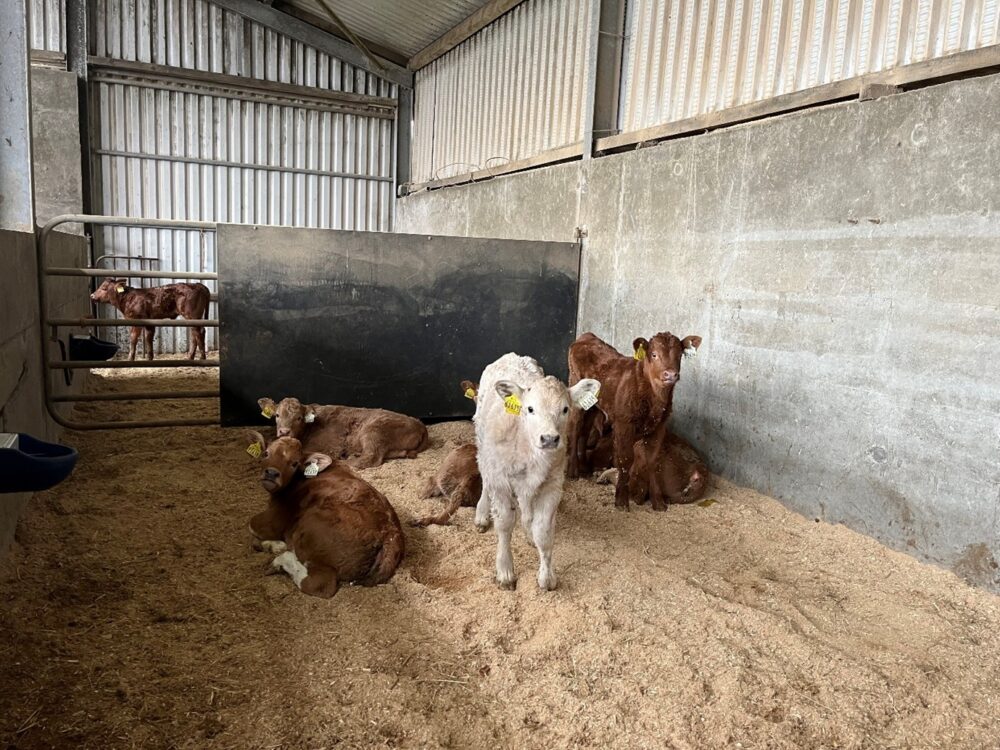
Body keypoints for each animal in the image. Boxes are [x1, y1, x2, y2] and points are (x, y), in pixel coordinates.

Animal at [246, 431, 404, 598]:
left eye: (294, 463)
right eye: (266, 453)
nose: (271, 473)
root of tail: (390, 533)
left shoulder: (275, 520)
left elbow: (252, 524)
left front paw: (273, 545)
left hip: (310, 530)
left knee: (319, 584)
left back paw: (281, 560)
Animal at [257, 396, 429, 469]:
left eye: (299, 417)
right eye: (277, 415)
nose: (284, 431)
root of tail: (419, 423)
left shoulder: (327, 446)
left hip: (373, 431)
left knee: (371, 458)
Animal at [472, 353, 599, 591]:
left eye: (565, 409)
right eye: (530, 409)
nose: (549, 438)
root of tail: (511, 355)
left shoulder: (552, 485)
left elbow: (543, 532)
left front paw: (547, 577)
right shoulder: (500, 481)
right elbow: (504, 524)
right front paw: (505, 571)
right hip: (483, 444)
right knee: (484, 476)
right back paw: (482, 514)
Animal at [566, 331, 701, 510]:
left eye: (679, 355)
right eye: (654, 354)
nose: (670, 374)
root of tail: (587, 336)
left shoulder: (659, 428)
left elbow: (652, 461)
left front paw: (658, 502)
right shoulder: (624, 424)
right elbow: (625, 459)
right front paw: (621, 501)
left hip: (594, 405)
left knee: (585, 429)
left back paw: (583, 467)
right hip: (576, 389)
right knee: (575, 427)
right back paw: (573, 471)